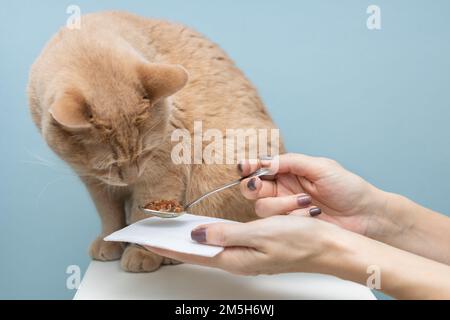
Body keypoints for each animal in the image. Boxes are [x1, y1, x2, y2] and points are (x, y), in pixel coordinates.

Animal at [26, 12, 284, 272]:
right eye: (111, 164)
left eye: (145, 152)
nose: (131, 177)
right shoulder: (95, 181)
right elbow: (110, 216)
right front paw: (110, 240)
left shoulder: (160, 173)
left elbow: (143, 218)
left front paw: (142, 251)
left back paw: (172, 255)